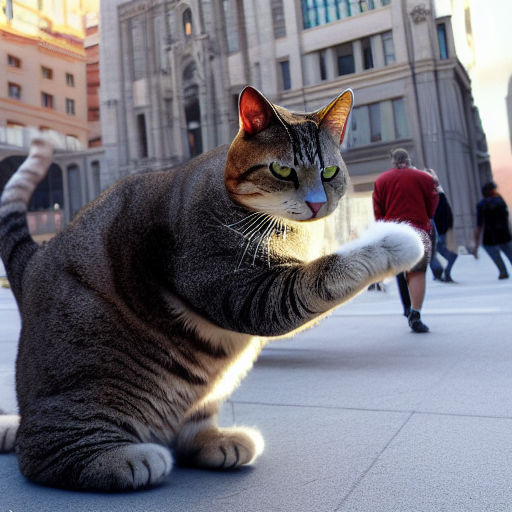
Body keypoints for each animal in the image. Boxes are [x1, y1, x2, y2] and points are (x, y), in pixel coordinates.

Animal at [0, 88, 424, 492]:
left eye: (330, 171)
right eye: (282, 170)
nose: (318, 203)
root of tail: (35, 261)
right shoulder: (245, 292)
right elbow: (325, 273)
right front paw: (396, 241)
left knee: (187, 428)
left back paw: (216, 441)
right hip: (89, 373)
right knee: (40, 451)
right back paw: (124, 458)